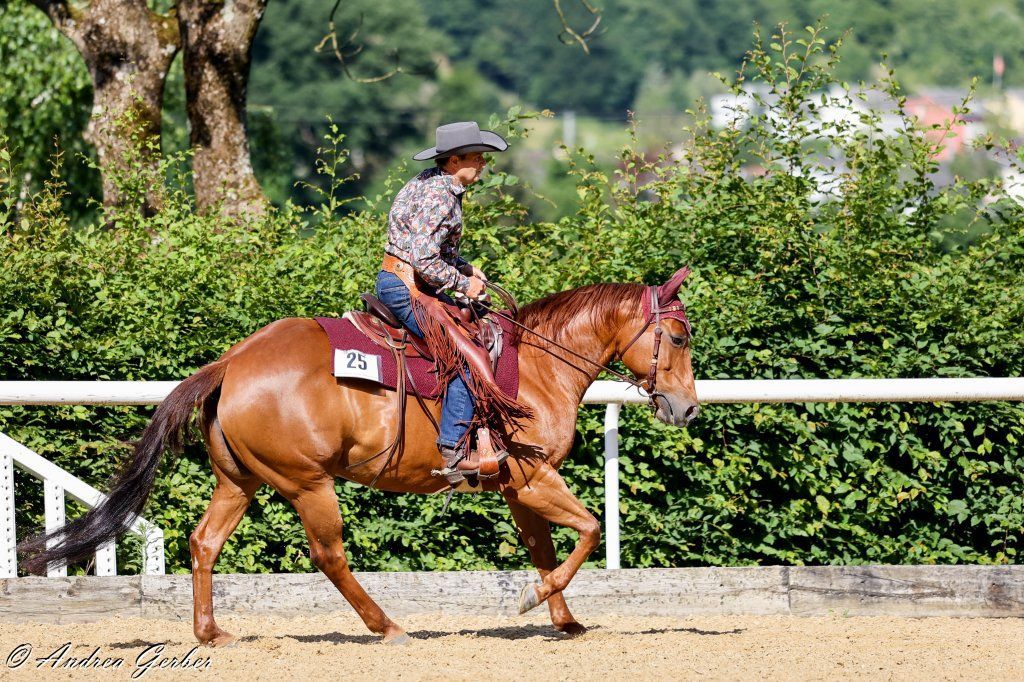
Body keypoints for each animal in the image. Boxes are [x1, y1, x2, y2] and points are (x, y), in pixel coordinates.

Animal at [21, 266, 699, 645]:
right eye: (679, 335)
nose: (687, 409)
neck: (534, 367)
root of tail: (232, 362)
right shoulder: (534, 478)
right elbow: (588, 529)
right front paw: (536, 602)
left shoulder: (517, 487)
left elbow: (545, 548)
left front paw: (562, 619)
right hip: (307, 484)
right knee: (329, 556)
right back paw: (388, 627)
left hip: (239, 481)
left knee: (204, 542)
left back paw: (210, 633)